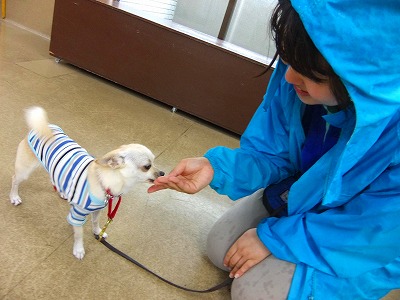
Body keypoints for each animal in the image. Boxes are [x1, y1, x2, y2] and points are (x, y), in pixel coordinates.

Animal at [9, 106, 163, 258]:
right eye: (147, 166)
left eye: (154, 162)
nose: (162, 173)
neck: (106, 182)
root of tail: (45, 127)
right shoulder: (78, 215)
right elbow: (79, 234)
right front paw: (78, 249)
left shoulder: (97, 210)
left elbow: (95, 222)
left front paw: (98, 232)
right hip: (25, 170)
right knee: (15, 180)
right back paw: (14, 197)